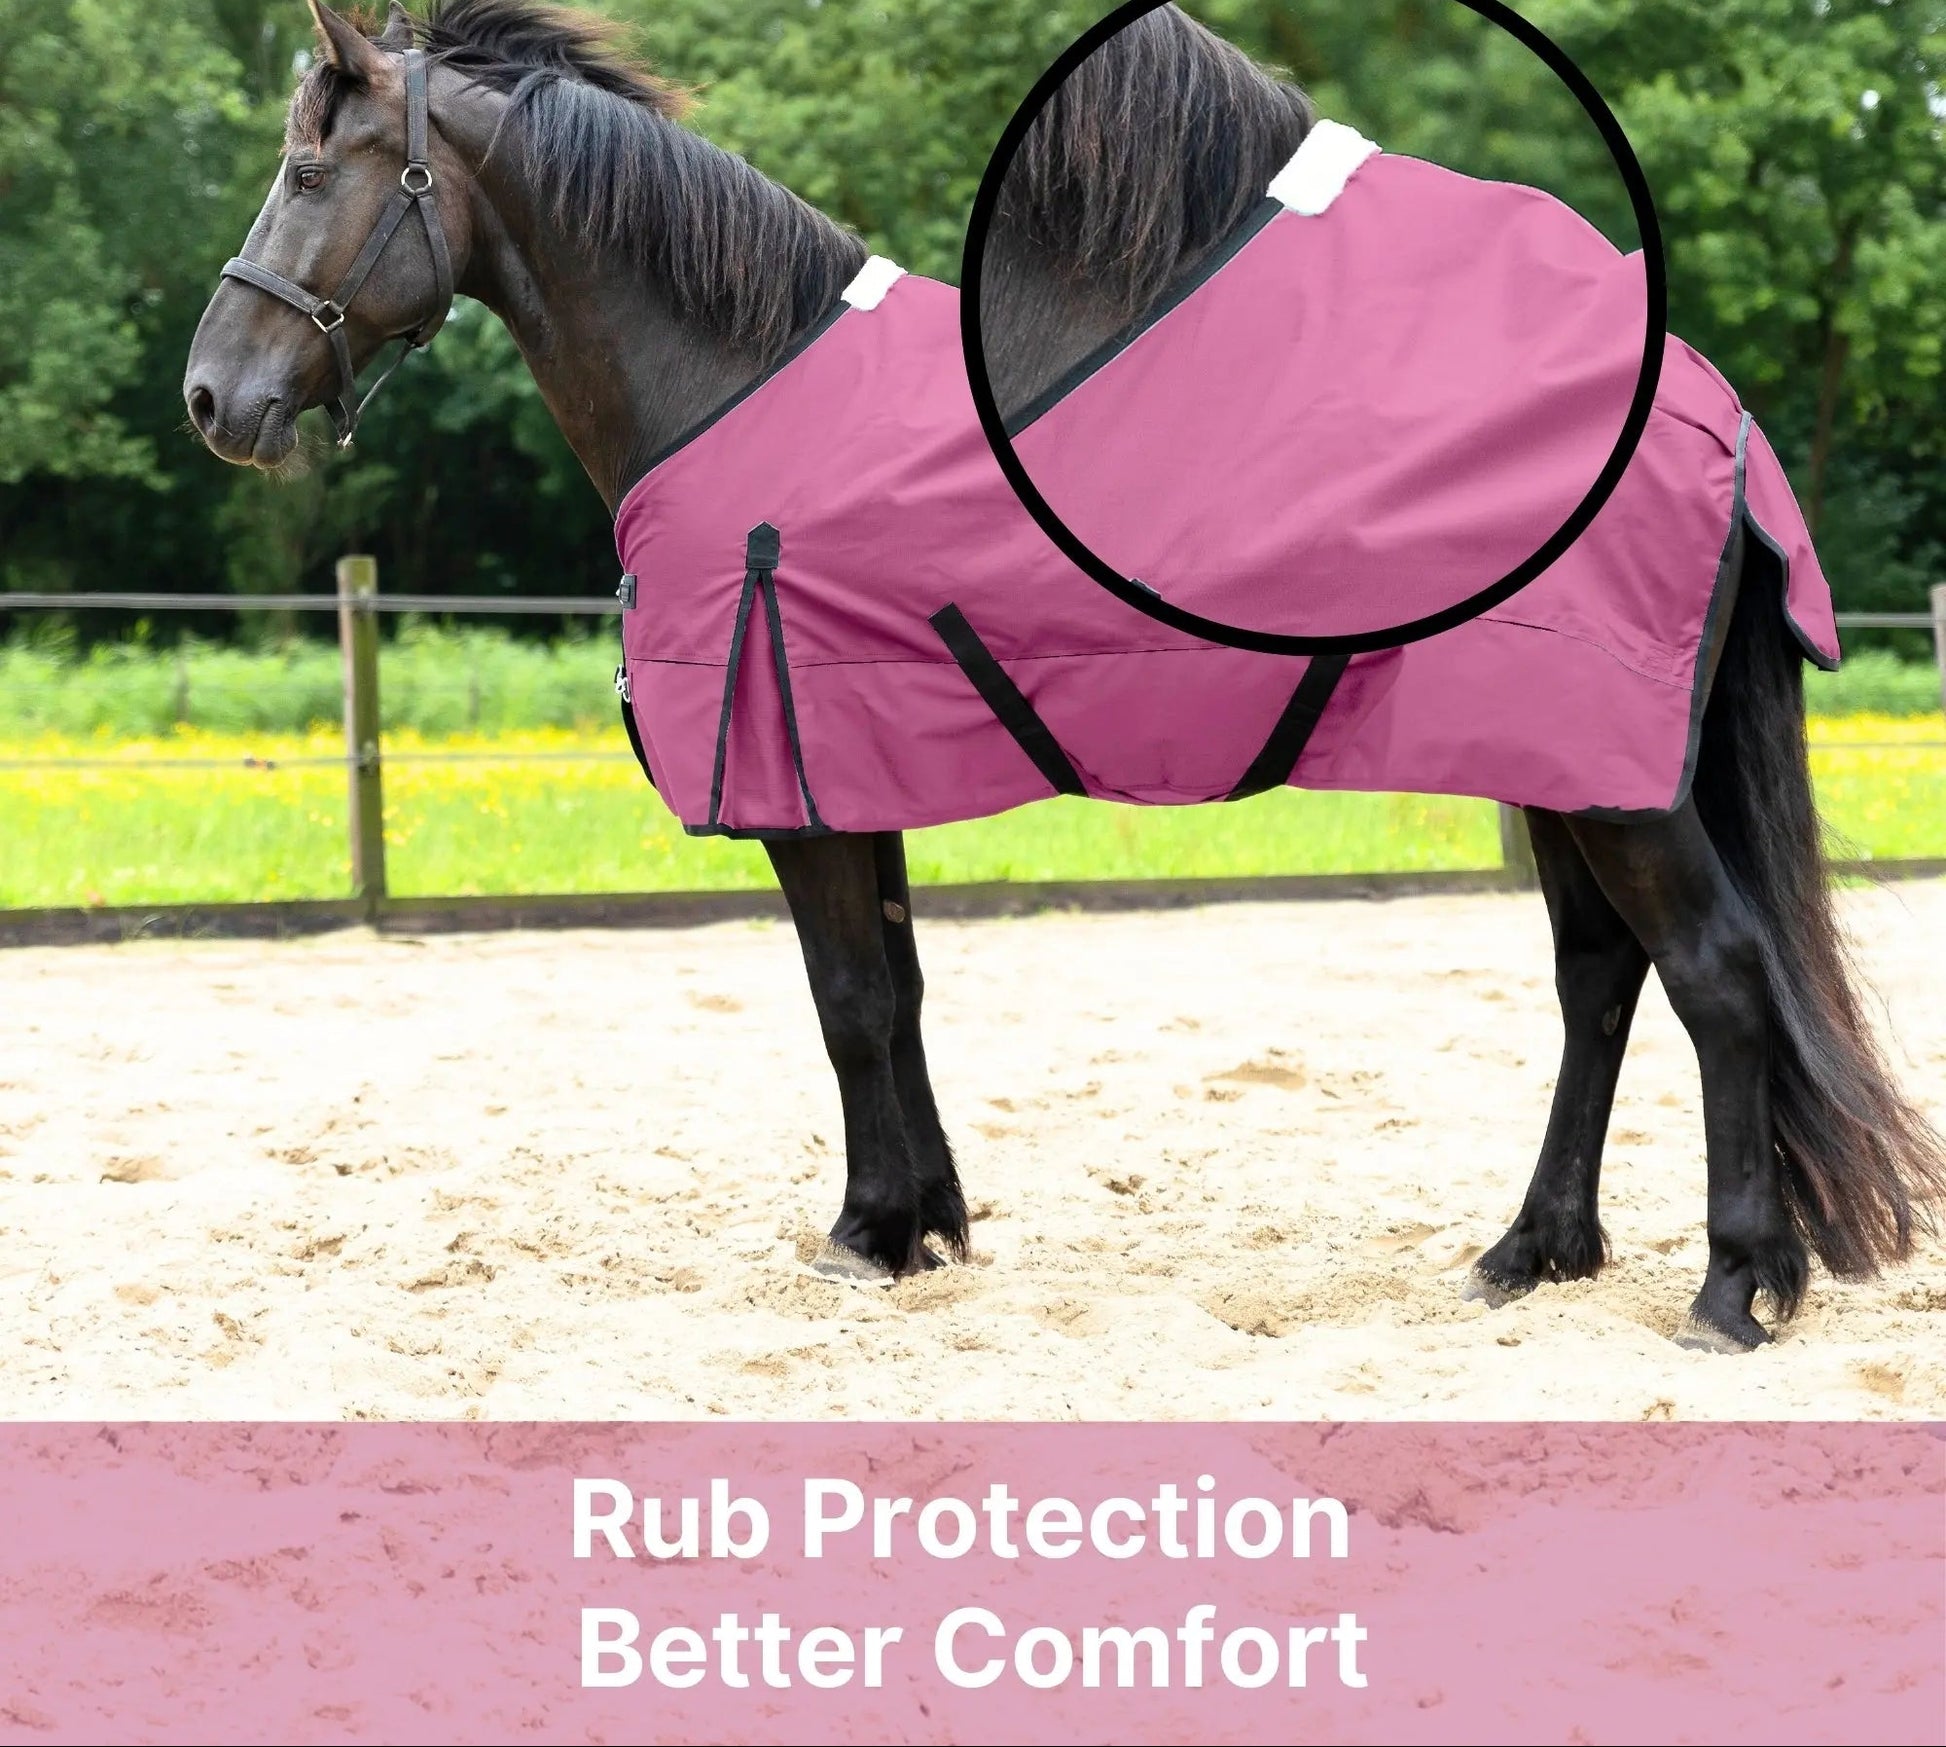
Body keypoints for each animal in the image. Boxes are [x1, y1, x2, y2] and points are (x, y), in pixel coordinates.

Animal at [183, 1, 1942, 1353]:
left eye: (304, 168)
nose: (212, 395)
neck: (732, 381)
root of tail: (1710, 411)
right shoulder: (854, 765)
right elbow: (893, 993)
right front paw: (927, 1223)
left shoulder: (800, 786)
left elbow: (843, 1002)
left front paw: (863, 1233)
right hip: (1563, 766)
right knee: (1599, 980)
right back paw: (1530, 1253)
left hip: (1611, 778)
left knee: (1715, 975)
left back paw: (1732, 1287)